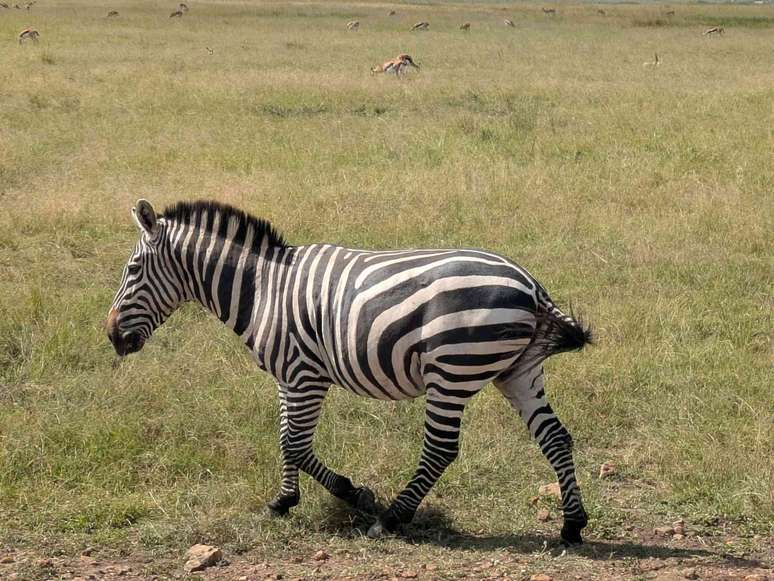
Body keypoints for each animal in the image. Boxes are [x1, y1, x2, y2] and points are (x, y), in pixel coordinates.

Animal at [106, 199, 592, 545]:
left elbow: (296, 444)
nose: (111, 336)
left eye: (132, 269)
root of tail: (531, 285)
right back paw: (572, 524)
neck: (262, 289)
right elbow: (285, 439)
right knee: (555, 437)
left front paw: (354, 494)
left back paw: (392, 518)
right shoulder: (287, 377)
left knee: (440, 450)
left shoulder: (305, 376)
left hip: (451, 371)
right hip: (519, 371)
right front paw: (284, 500)